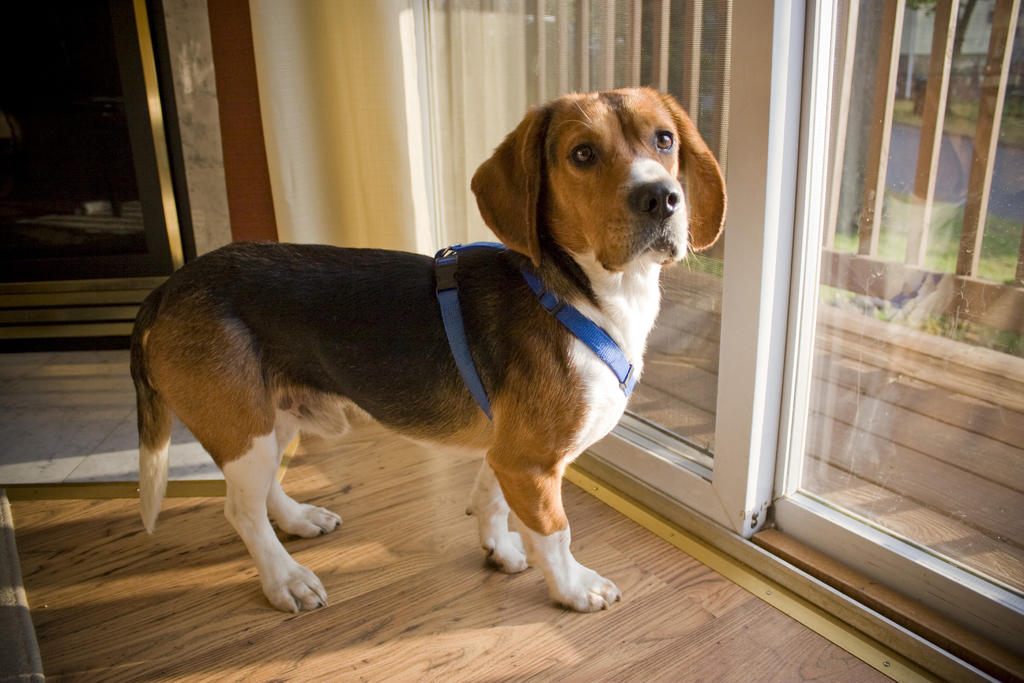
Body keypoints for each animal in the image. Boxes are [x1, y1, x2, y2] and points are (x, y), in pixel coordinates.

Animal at [132, 87, 724, 614]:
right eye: (582, 153)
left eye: (665, 139)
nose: (662, 198)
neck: (583, 292)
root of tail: (168, 287)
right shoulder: (531, 462)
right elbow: (555, 532)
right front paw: (574, 588)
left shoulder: (507, 454)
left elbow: (490, 501)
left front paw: (500, 550)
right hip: (242, 427)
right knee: (241, 511)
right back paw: (286, 580)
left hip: (268, 416)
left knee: (262, 492)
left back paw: (299, 520)